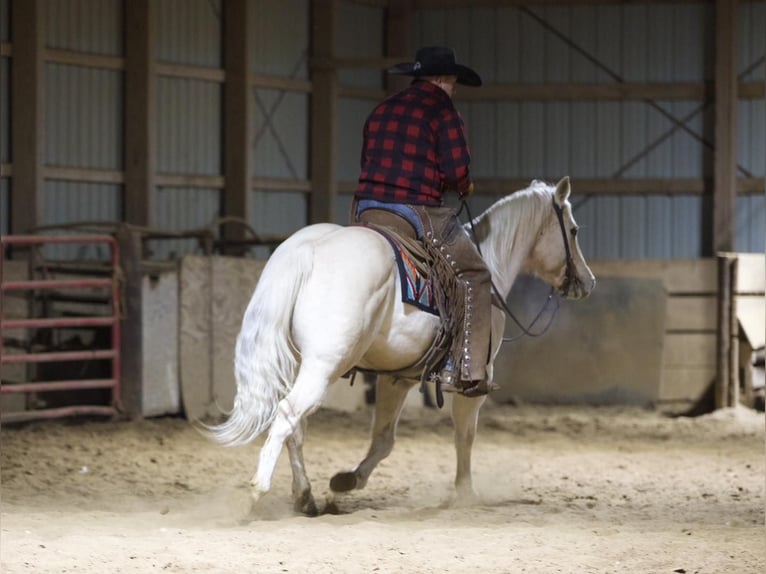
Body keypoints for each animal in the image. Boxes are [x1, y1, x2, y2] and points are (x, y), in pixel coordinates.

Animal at [207, 177, 596, 516]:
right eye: (574, 230)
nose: (588, 281)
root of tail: (307, 251)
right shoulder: (474, 382)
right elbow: (464, 435)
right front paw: (465, 493)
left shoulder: (397, 377)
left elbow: (383, 439)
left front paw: (347, 480)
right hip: (323, 366)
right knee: (289, 414)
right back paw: (258, 491)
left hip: (300, 364)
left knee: (295, 426)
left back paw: (305, 497)